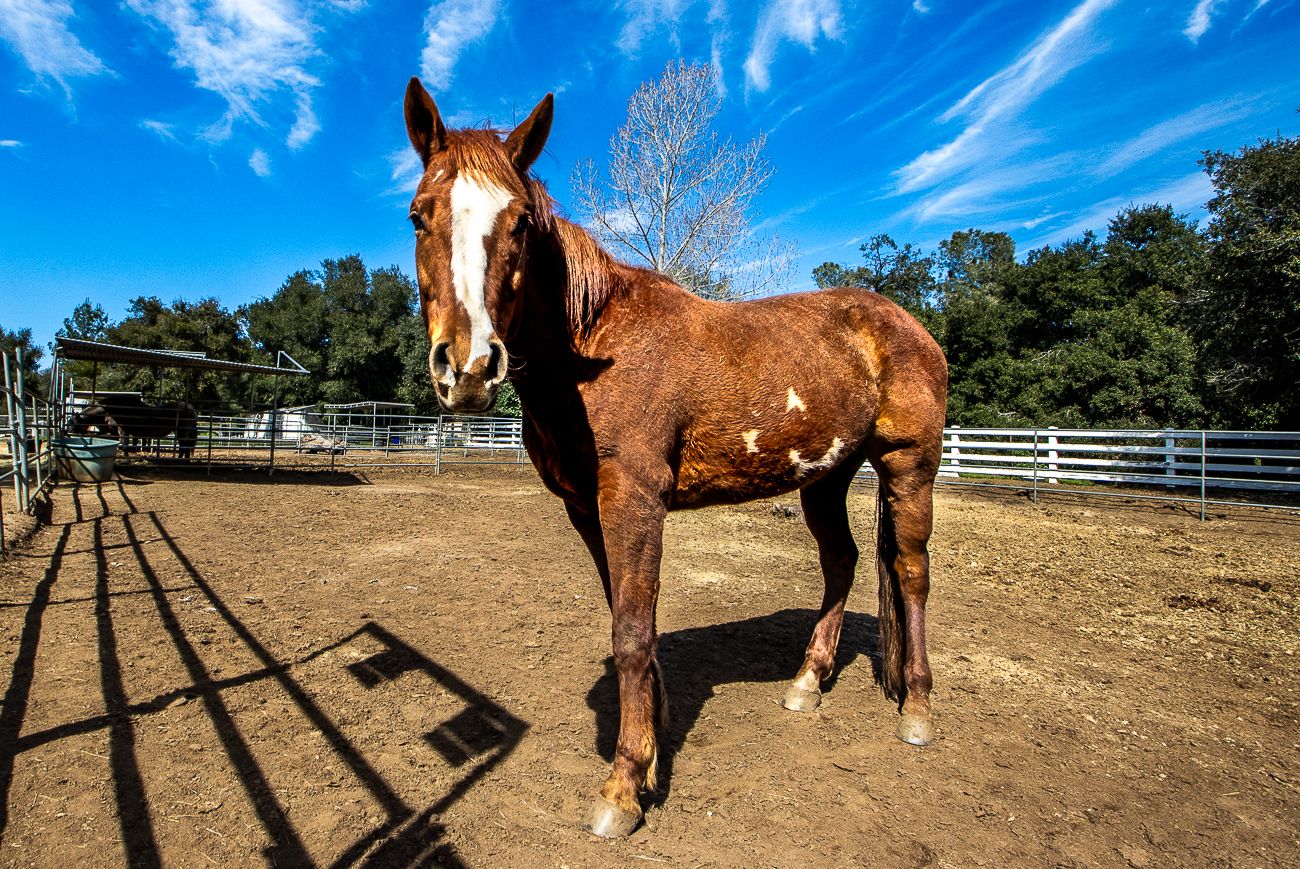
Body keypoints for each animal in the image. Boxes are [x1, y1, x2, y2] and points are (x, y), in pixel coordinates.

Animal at [402, 77, 948, 837]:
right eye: (418, 217)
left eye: (519, 225)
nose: (469, 366)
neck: (597, 344)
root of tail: (906, 324)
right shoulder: (588, 509)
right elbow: (628, 619)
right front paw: (653, 737)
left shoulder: (635, 501)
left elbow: (632, 632)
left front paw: (624, 784)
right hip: (825, 477)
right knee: (842, 562)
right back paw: (807, 683)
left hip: (908, 465)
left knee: (911, 573)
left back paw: (918, 710)